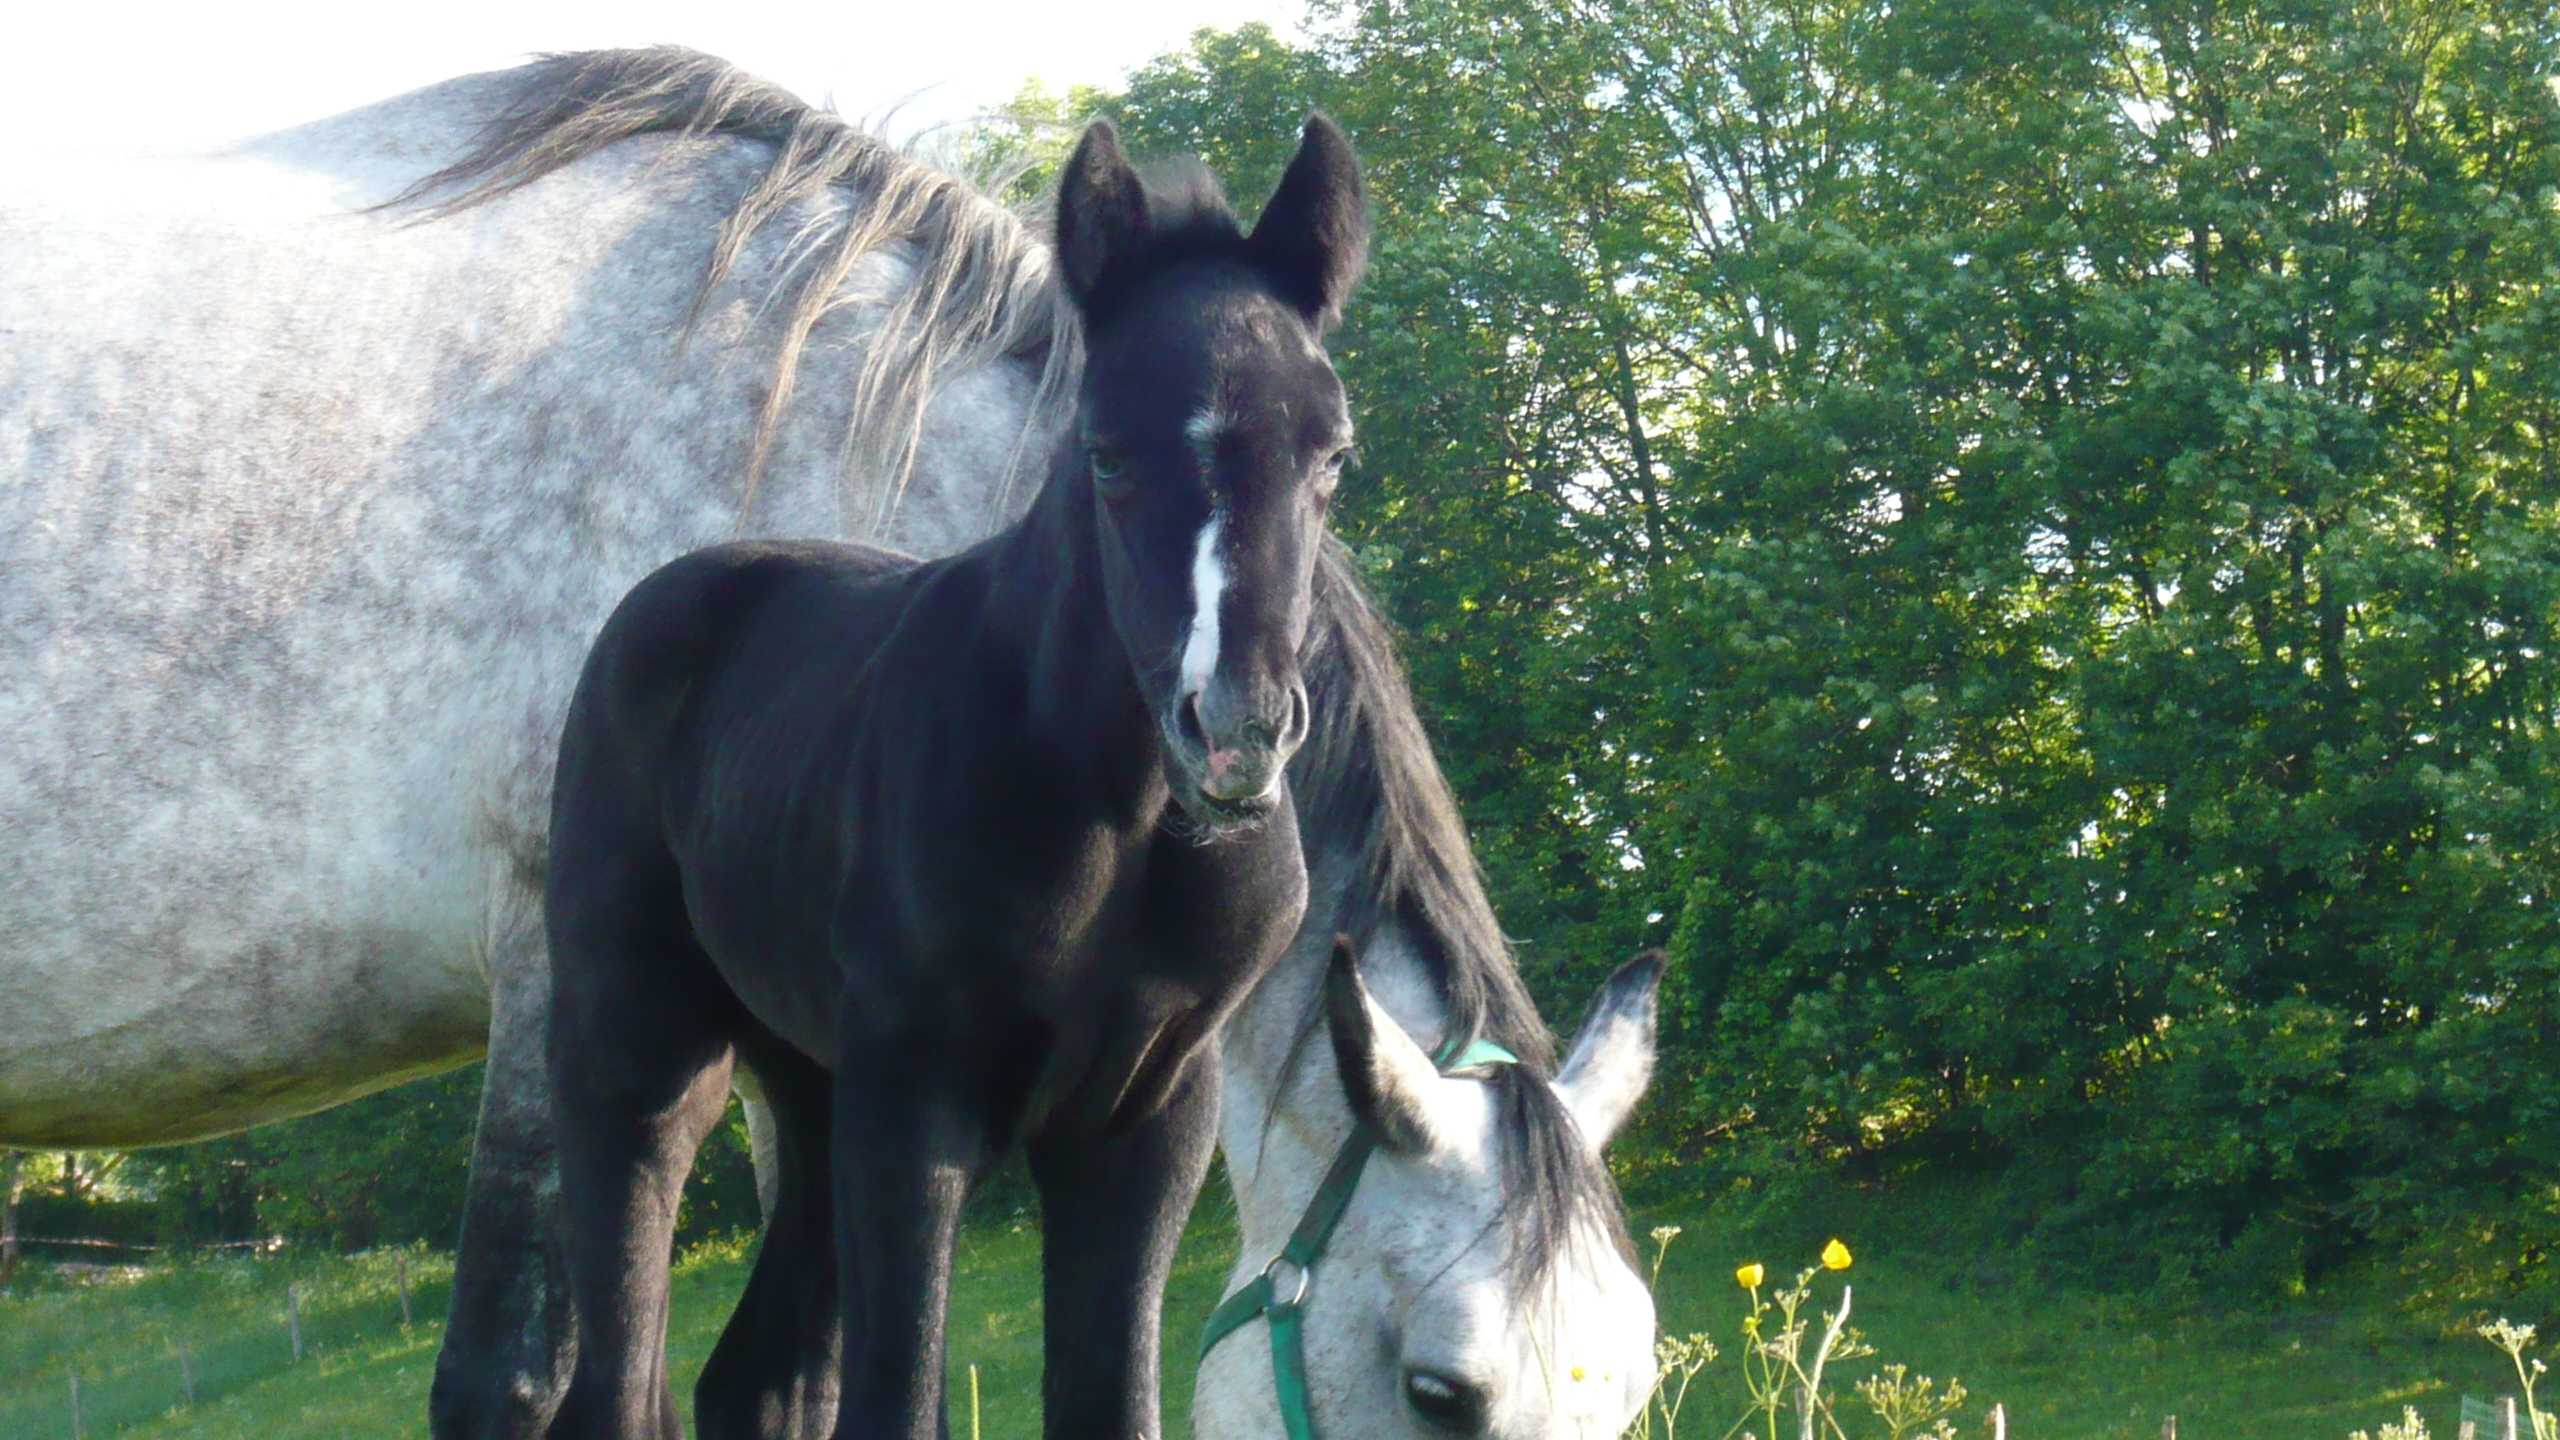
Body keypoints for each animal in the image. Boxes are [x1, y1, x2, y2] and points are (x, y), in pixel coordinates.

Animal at [537, 114, 1372, 1434]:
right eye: (1105, 452)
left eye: (1329, 454)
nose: (1236, 730)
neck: (1118, 821)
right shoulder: (916, 1103)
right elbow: (898, 1394)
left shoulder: (1148, 1113)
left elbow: (1108, 1395)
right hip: (640, 1059)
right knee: (619, 1378)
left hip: (811, 1082)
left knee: (759, 1375)